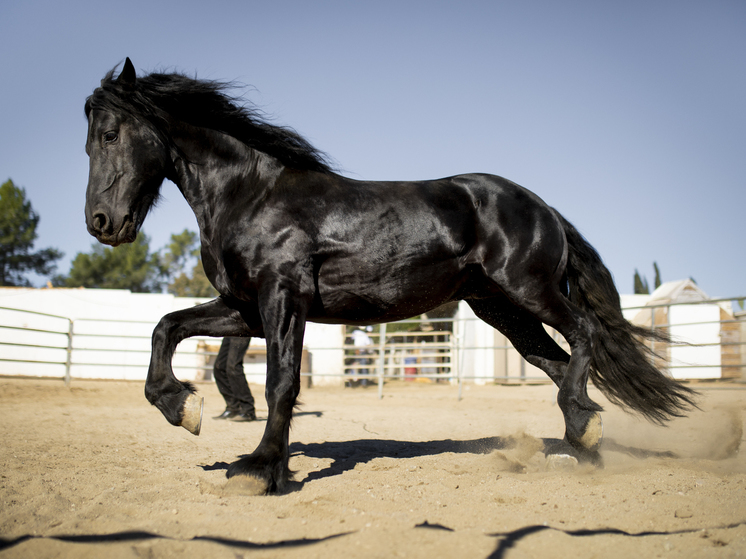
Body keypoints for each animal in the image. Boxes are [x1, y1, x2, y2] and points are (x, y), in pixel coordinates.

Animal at [84, 58, 696, 494]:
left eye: (111, 134)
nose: (102, 223)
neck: (251, 195)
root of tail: (542, 207)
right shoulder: (246, 310)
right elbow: (167, 326)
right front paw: (182, 408)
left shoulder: (283, 298)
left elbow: (282, 381)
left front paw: (259, 468)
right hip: (501, 310)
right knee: (558, 361)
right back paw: (580, 443)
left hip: (531, 291)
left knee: (583, 336)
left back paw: (582, 433)